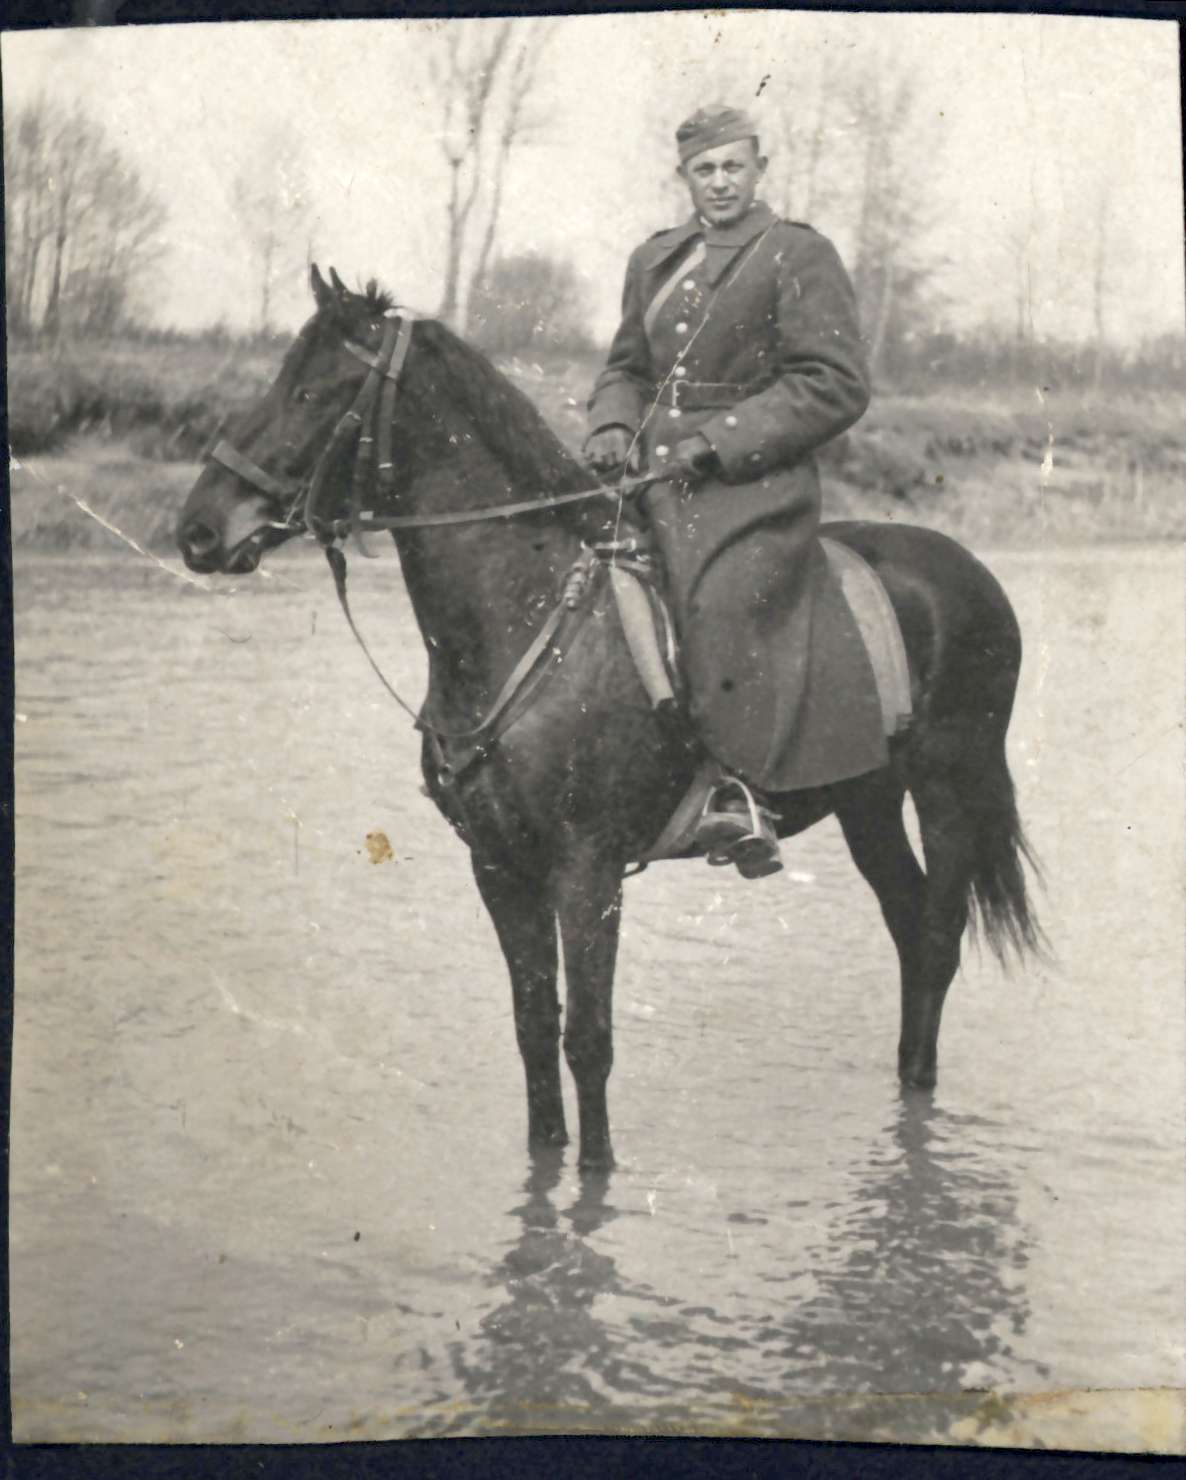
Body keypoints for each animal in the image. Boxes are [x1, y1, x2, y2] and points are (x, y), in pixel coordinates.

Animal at [177, 266, 1042, 1171]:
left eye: (314, 392)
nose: (198, 529)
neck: (525, 612)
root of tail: (966, 570)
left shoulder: (585, 870)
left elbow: (588, 1040)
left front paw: (593, 1180)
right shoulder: (499, 867)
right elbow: (534, 1028)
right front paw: (545, 1159)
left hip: (950, 786)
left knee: (938, 934)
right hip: (866, 800)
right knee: (909, 924)